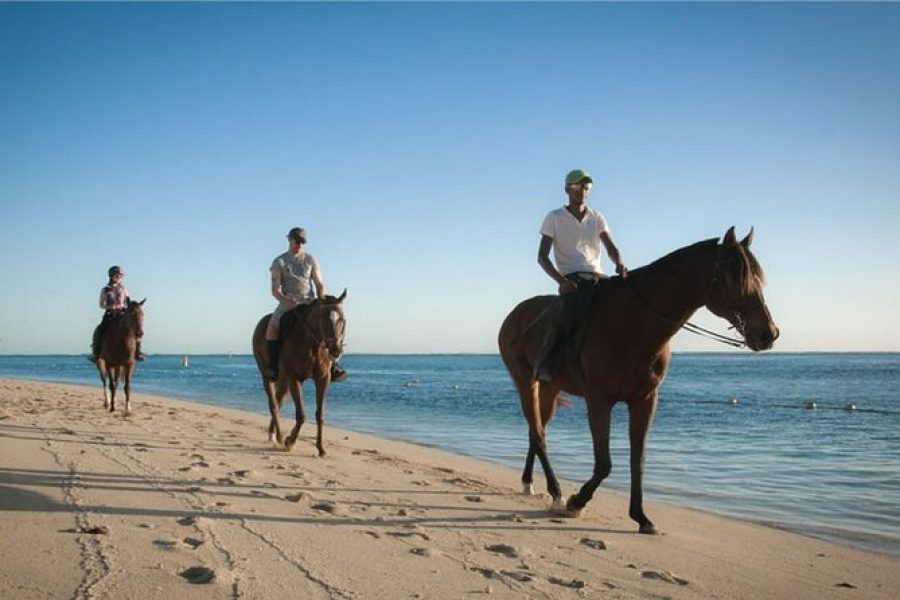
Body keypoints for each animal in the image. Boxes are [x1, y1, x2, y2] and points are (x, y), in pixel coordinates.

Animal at [251, 290, 347, 457]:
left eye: (342, 318)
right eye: (323, 319)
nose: (336, 349)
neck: (313, 346)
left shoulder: (323, 379)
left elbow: (320, 414)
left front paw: (321, 448)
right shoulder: (294, 378)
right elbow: (301, 414)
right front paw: (290, 441)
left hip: (284, 380)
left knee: (279, 401)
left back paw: (273, 435)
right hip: (267, 376)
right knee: (273, 405)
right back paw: (279, 436)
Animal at [498, 227, 778, 534]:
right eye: (734, 273)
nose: (769, 333)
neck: (634, 324)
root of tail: (513, 315)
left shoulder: (645, 401)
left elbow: (638, 460)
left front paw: (641, 517)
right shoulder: (599, 400)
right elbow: (604, 463)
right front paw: (577, 502)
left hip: (550, 388)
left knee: (536, 431)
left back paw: (530, 483)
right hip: (526, 382)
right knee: (538, 434)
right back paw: (558, 493)